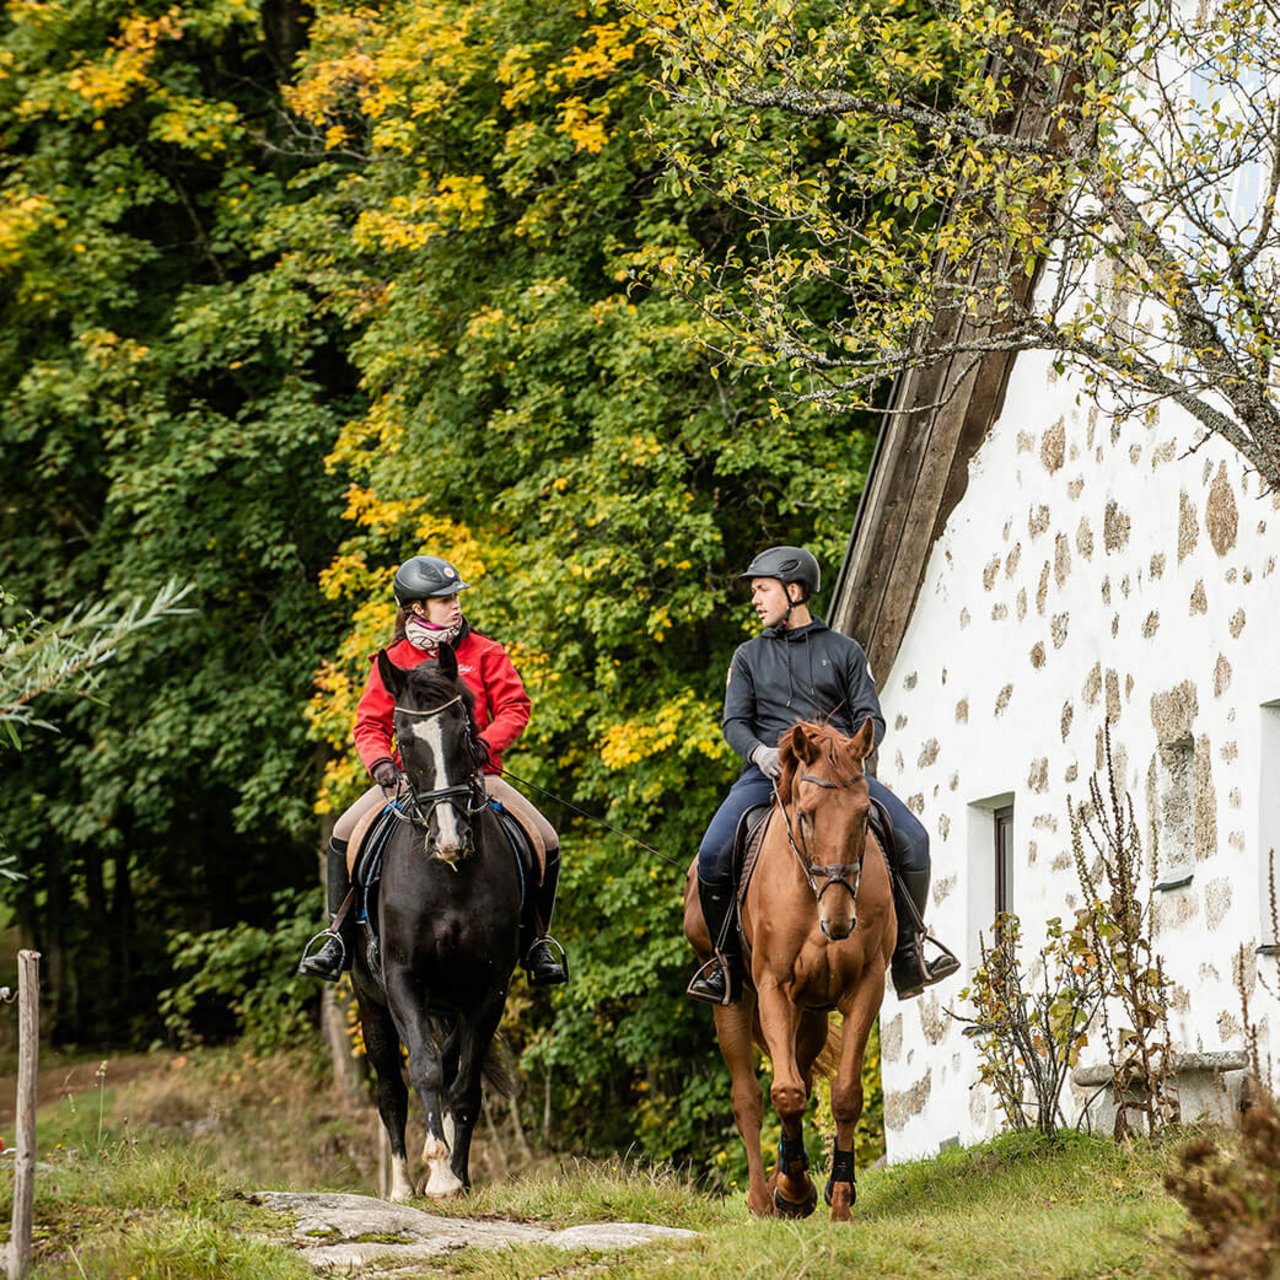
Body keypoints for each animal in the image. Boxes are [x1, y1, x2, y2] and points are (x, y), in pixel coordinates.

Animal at [350, 650, 519, 1198]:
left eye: (463, 729)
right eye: (403, 740)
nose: (449, 838)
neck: (447, 877)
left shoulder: (489, 989)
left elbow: (462, 1086)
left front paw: (456, 1177)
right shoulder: (402, 979)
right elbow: (422, 1070)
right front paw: (439, 1171)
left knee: (449, 1065)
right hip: (370, 1002)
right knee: (390, 1090)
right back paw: (403, 1186)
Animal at [691, 721, 890, 1218]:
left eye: (863, 815)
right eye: (807, 815)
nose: (838, 921)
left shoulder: (866, 987)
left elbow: (843, 1095)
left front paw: (839, 1197)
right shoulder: (773, 988)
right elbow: (786, 1093)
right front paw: (796, 1191)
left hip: (812, 1012)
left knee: (800, 1068)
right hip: (734, 1001)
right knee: (748, 1097)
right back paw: (764, 1198)